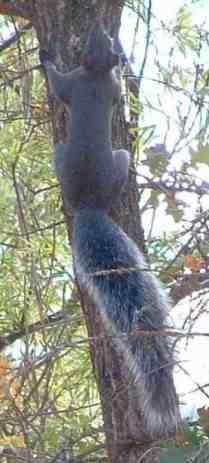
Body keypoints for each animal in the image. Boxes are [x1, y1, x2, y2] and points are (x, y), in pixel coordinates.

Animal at [40, 22, 180, 438]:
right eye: (95, 39)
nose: (103, 29)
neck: (96, 73)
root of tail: (89, 207)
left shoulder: (79, 83)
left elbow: (58, 84)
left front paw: (46, 58)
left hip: (100, 156)